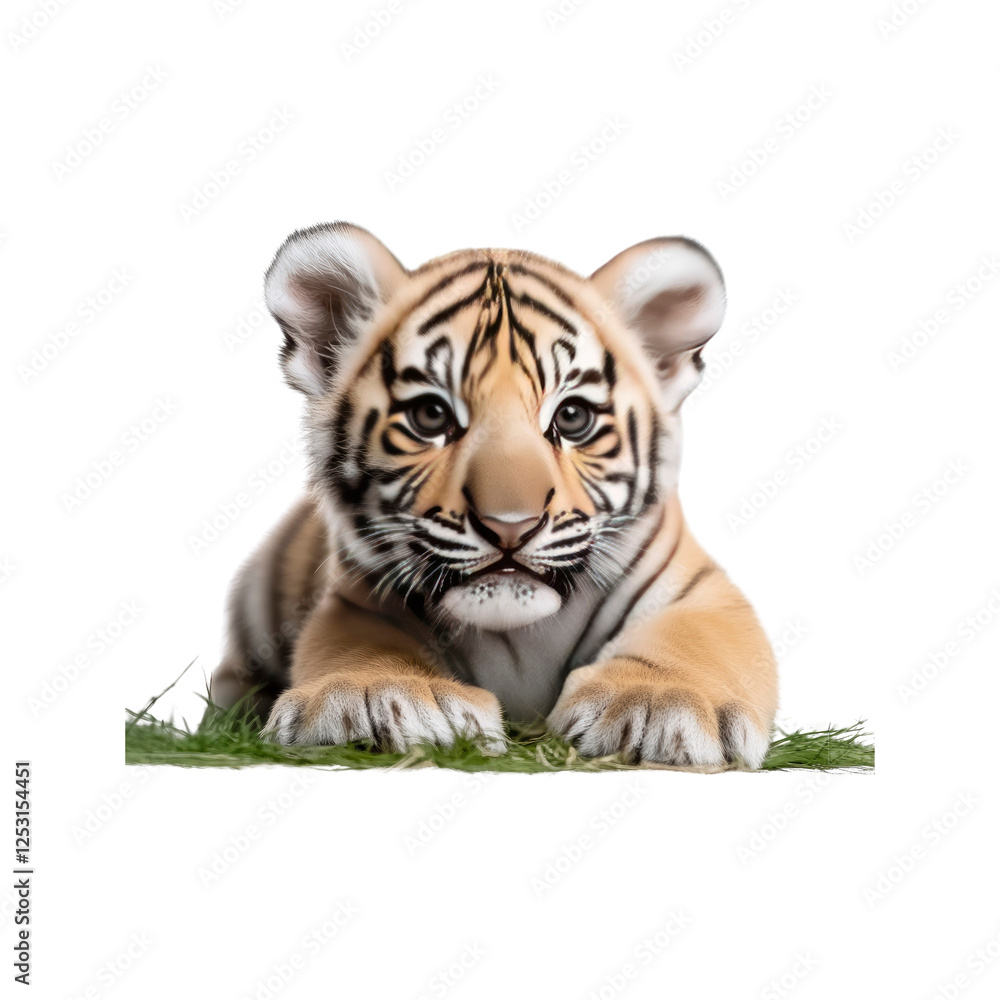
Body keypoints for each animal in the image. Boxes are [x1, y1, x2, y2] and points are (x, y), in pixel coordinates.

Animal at [208, 222, 778, 768]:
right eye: (430, 415)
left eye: (573, 417)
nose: (510, 524)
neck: (519, 640)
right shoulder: (359, 597)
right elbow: (360, 649)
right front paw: (375, 698)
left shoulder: (701, 592)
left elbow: (695, 639)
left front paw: (656, 707)